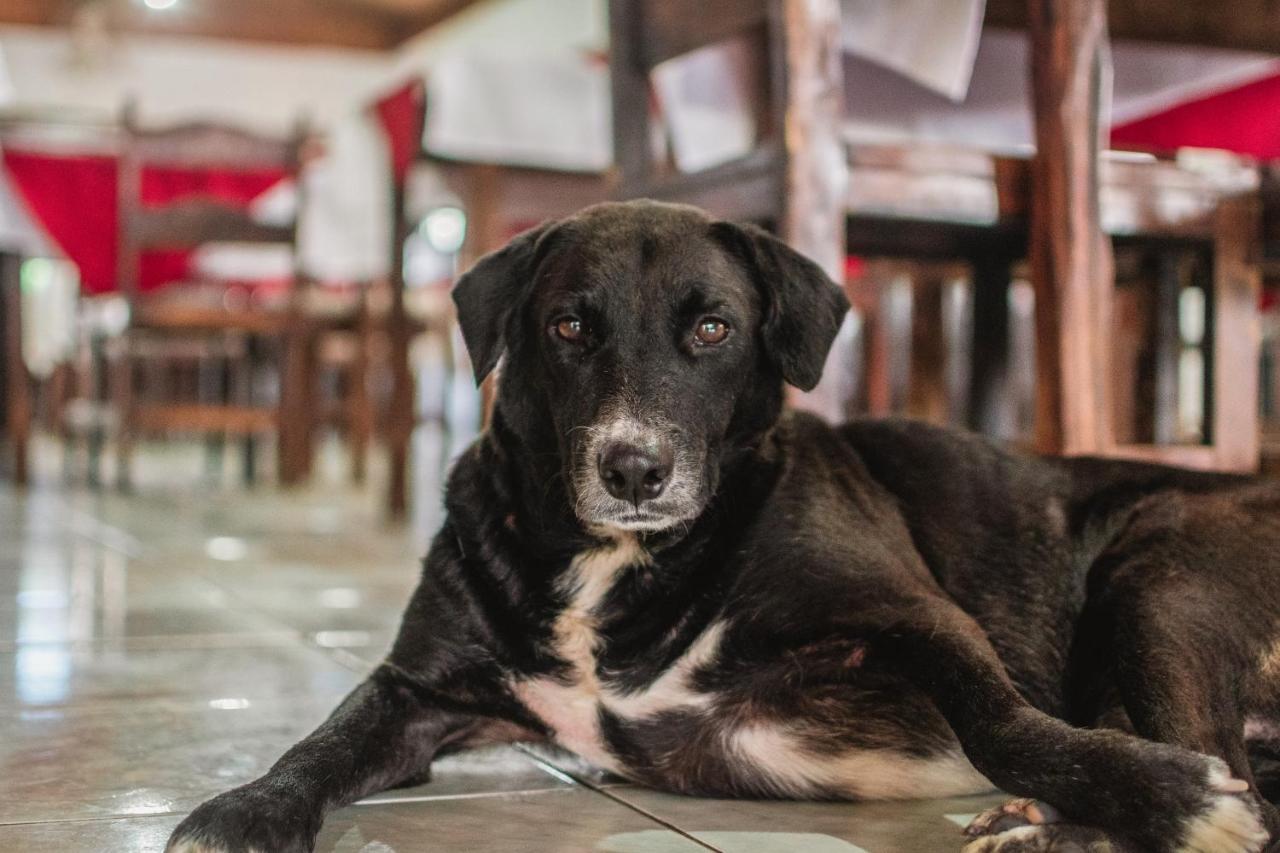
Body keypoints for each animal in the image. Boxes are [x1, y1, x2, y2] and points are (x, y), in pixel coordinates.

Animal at [170, 201, 1280, 850]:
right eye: (568, 325)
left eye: (713, 328)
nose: (633, 468)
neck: (622, 564)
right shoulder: (419, 688)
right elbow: (322, 742)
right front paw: (242, 810)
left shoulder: (918, 614)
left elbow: (1005, 722)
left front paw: (1167, 797)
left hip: (1158, 575)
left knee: (1226, 773)